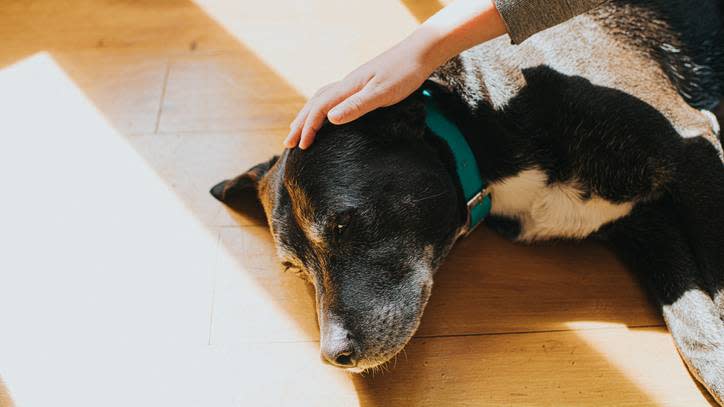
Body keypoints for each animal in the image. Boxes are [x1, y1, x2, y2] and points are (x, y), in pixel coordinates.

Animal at [209, 0, 724, 402]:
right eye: (294, 268)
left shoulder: (691, 148)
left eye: (343, 223)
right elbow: (695, 329)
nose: (335, 356)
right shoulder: (647, 225)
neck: (481, 127)